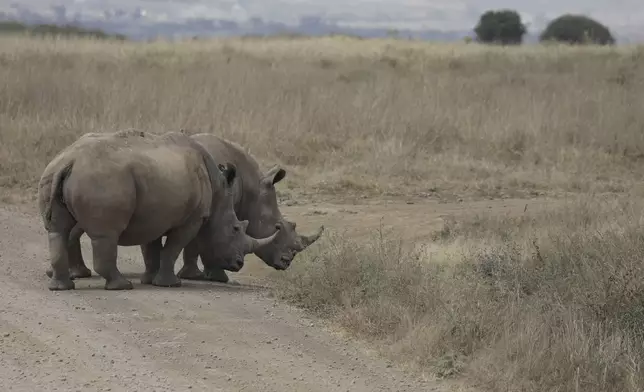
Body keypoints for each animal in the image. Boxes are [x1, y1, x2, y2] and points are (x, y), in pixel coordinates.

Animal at [46, 133, 324, 284]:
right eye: (277, 226)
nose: (286, 262)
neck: (251, 188)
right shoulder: (205, 211)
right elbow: (198, 243)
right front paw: (210, 276)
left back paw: (66, 274)